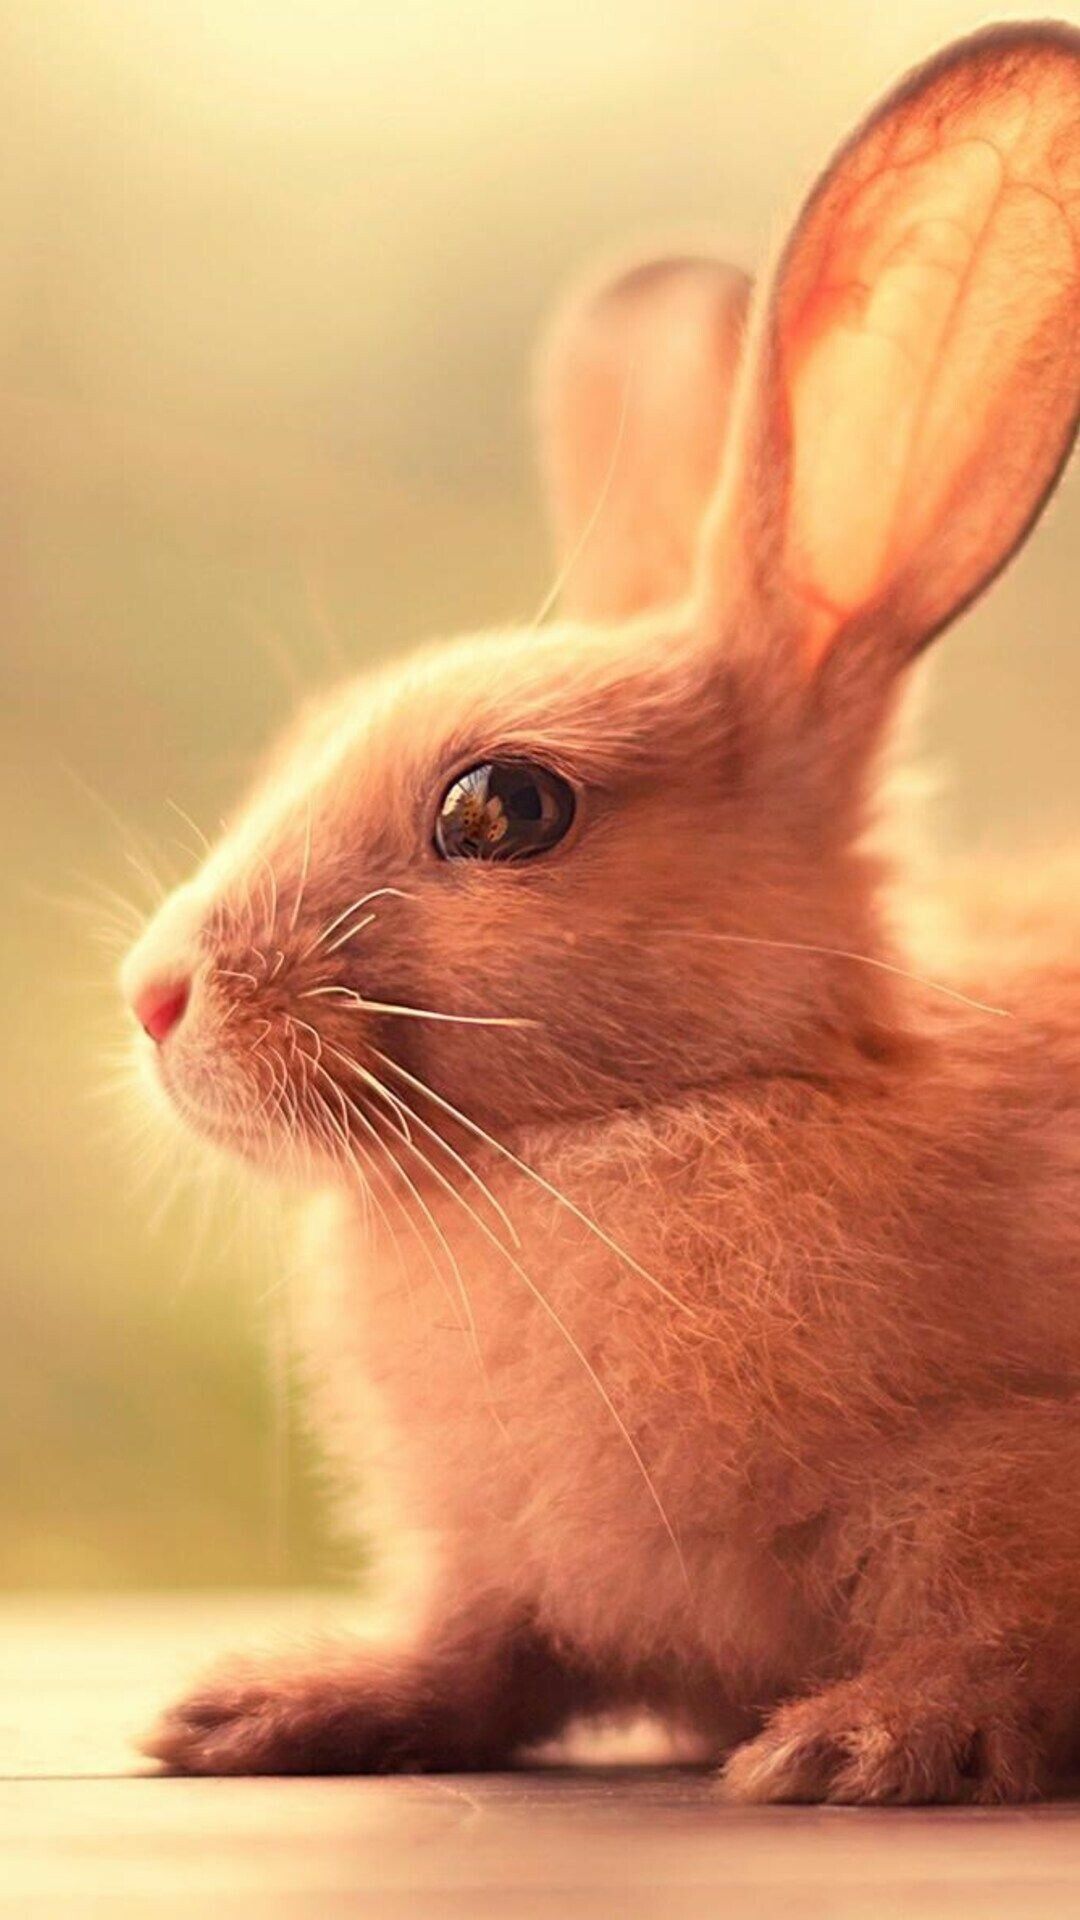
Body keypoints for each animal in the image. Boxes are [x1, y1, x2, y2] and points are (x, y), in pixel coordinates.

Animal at [122, 22, 1080, 1802]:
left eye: (504, 808)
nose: (154, 998)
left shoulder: (1002, 1498)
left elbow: (992, 1648)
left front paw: (852, 1747)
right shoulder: (501, 1574)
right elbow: (472, 1657)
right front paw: (260, 1709)